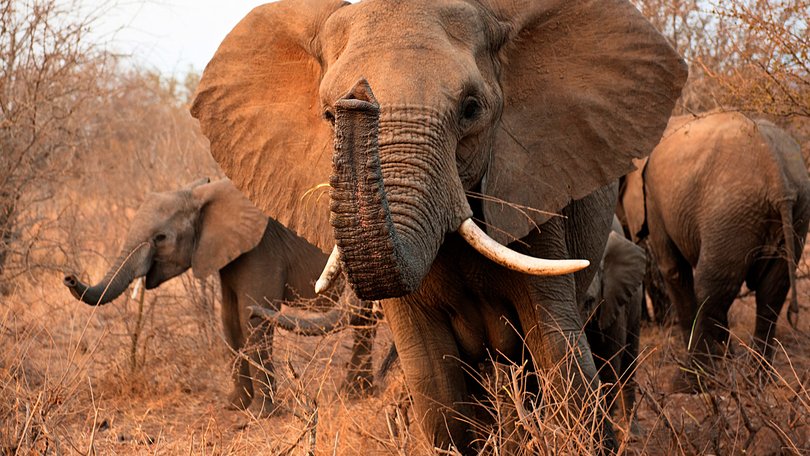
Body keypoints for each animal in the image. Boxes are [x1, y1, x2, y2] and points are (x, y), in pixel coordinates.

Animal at [64, 177, 378, 414]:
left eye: (161, 238)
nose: (69, 277)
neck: (202, 195)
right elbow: (229, 320)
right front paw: (235, 407)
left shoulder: (261, 248)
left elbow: (251, 318)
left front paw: (260, 415)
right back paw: (357, 393)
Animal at [616, 112, 804, 390]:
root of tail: (775, 171)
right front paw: (726, 359)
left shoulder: (653, 200)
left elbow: (673, 270)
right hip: (793, 214)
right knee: (770, 292)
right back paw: (756, 380)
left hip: (729, 212)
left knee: (709, 287)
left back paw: (688, 383)